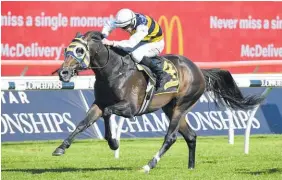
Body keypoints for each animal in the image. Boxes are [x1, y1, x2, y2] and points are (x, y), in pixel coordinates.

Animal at [51, 31, 264, 173]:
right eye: (66, 50)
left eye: (80, 50)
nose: (63, 73)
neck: (113, 71)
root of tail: (199, 70)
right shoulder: (99, 103)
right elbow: (83, 122)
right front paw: (61, 148)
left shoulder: (130, 108)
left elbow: (108, 113)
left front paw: (113, 142)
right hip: (171, 108)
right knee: (191, 136)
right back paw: (190, 168)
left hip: (181, 105)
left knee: (171, 137)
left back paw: (149, 165)